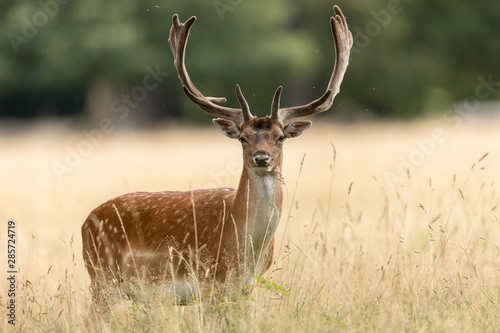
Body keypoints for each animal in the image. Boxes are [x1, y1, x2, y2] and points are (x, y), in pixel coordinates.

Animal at [81, 4, 352, 304]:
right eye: (243, 138)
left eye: (280, 137)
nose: (261, 157)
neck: (243, 251)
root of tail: (85, 223)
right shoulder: (211, 282)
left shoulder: (246, 286)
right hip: (102, 277)